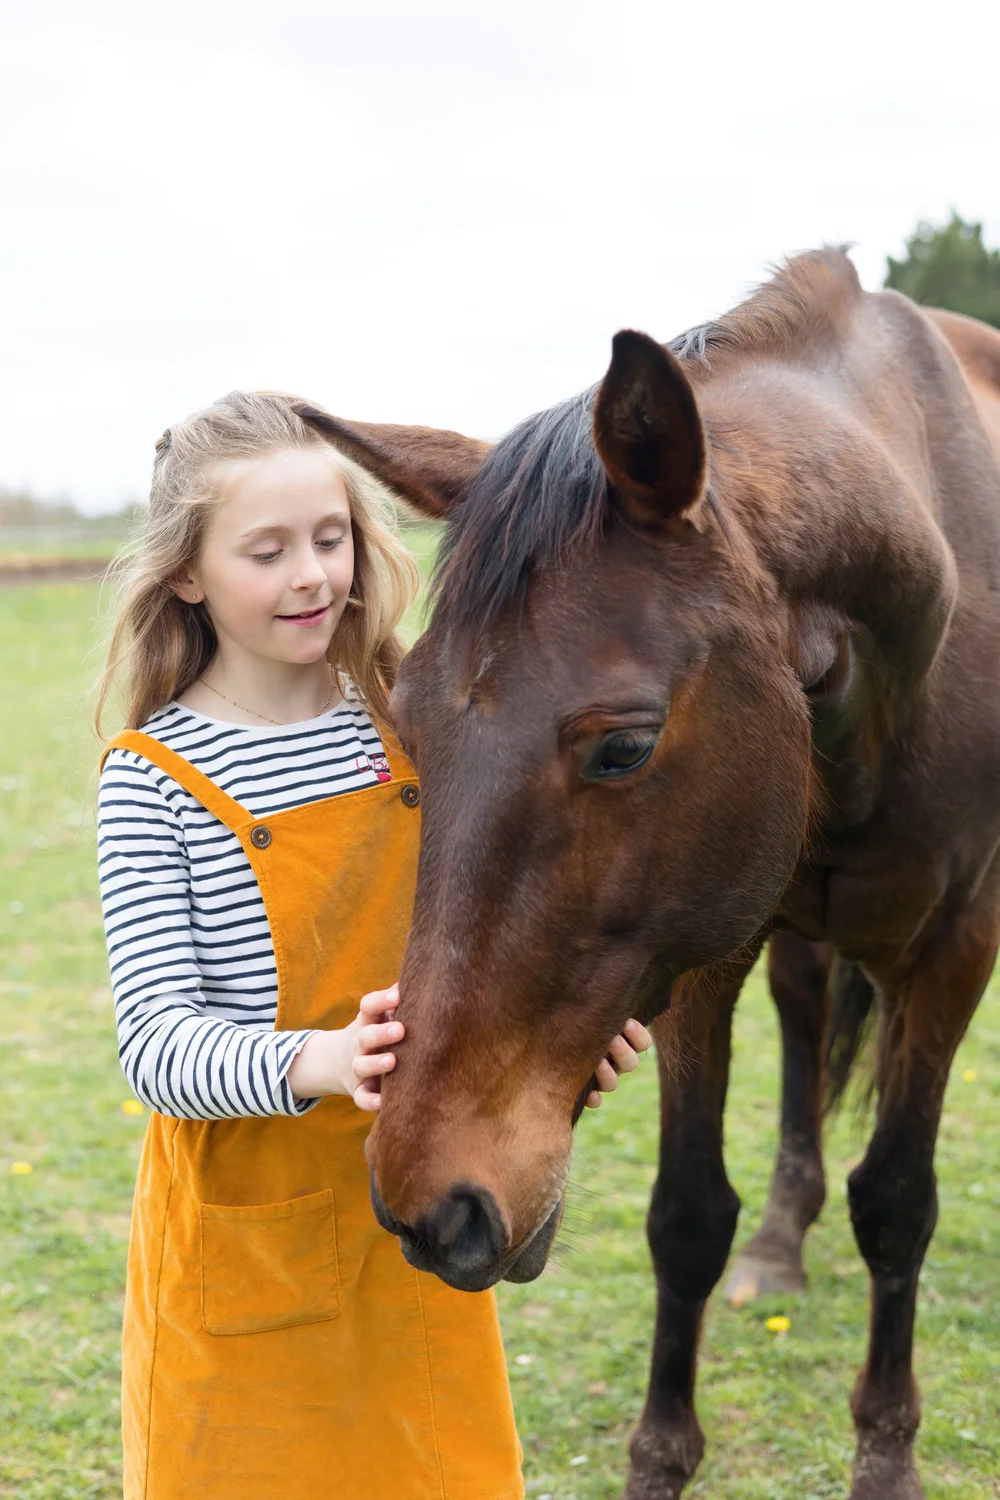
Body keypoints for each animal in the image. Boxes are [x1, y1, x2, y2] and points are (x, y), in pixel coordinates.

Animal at [298, 249, 1000, 1500]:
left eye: (623, 747)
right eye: (406, 728)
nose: (428, 1207)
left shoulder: (956, 948)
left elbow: (896, 1204)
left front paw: (884, 1453)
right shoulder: (701, 956)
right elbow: (685, 1217)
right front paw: (661, 1458)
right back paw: (779, 1242)